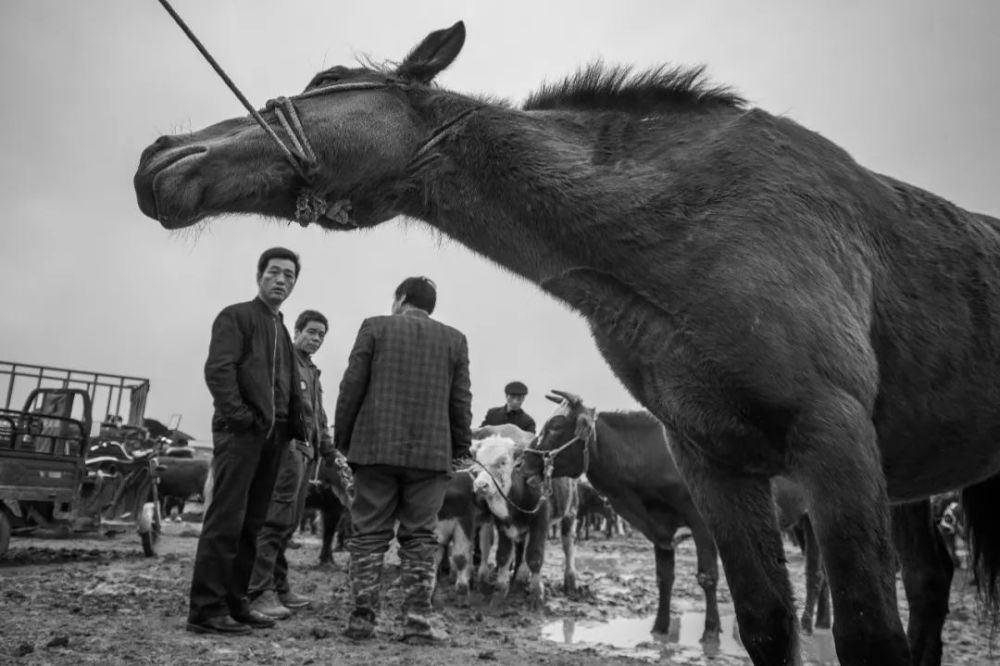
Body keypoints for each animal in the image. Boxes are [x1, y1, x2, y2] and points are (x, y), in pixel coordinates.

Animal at [135, 22, 1000, 664]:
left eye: (327, 79)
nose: (160, 155)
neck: (694, 234)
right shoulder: (715, 463)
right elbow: (764, 622)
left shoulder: (834, 439)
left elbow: (867, 632)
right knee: (932, 578)